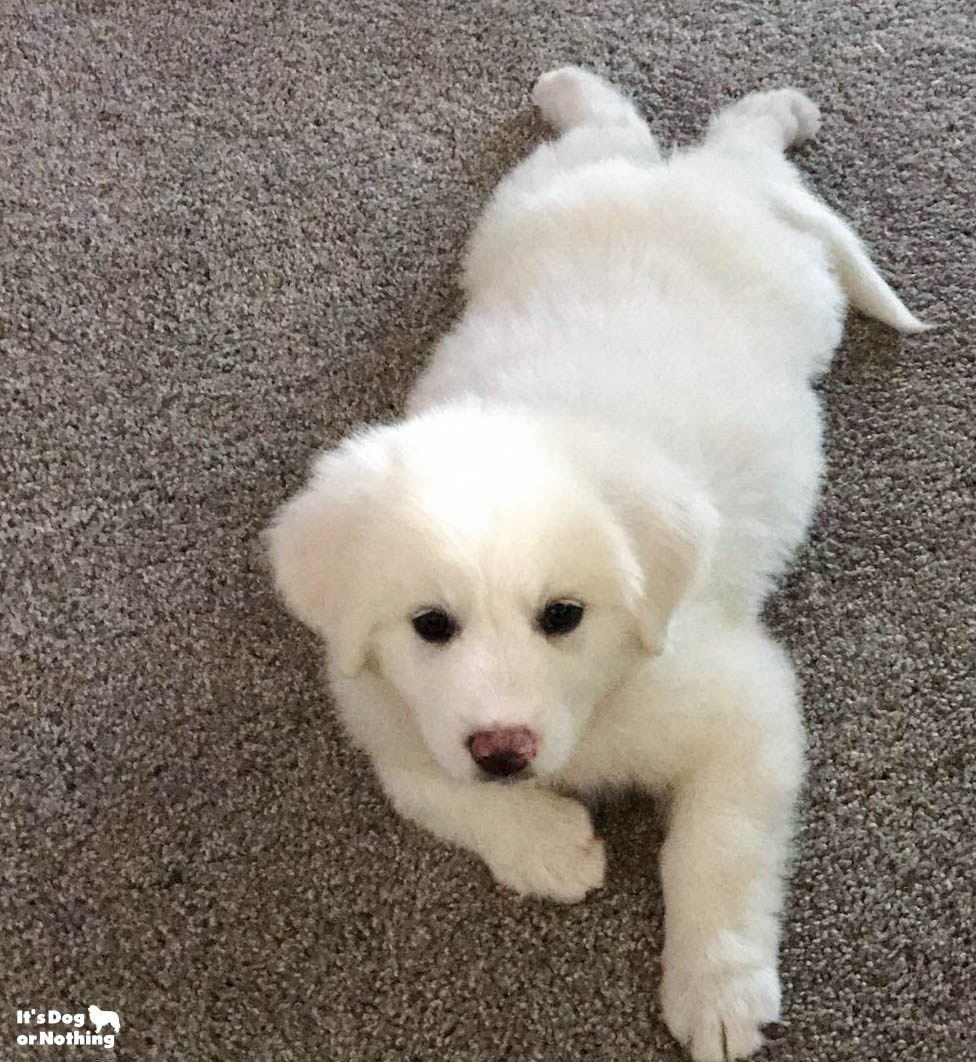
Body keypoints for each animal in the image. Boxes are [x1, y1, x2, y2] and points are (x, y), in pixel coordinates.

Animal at [267, 68, 921, 1062]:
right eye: (430, 625)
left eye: (564, 615)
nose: (504, 750)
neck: (601, 706)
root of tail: (679, 182)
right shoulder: (383, 711)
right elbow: (429, 786)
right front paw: (544, 845)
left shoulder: (744, 708)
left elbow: (716, 851)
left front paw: (717, 989)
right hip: (523, 208)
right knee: (617, 133)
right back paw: (580, 92)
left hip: (802, 285)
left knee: (741, 150)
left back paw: (773, 112)